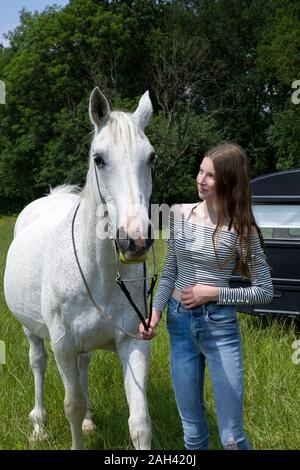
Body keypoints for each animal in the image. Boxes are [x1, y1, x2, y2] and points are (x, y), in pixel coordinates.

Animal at [3, 86, 156, 450]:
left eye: (151, 158)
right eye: (99, 158)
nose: (134, 241)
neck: (98, 272)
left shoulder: (133, 342)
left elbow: (140, 422)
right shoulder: (63, 346)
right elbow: (71, 404)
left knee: (84, 367)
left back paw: (88, 422)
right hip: (33, 333)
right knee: (38, 364)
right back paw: (39, 426)